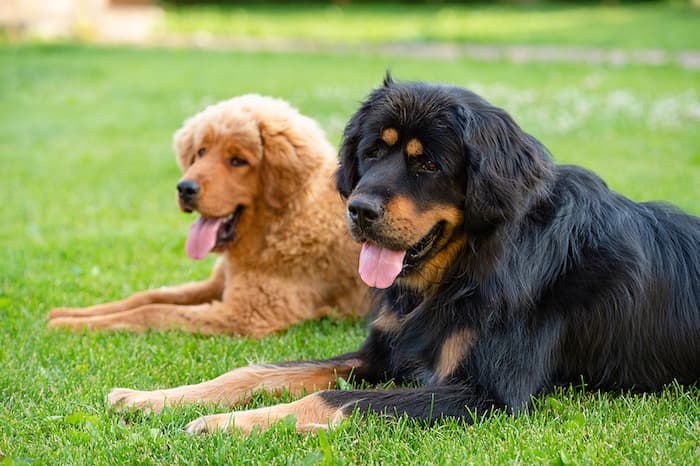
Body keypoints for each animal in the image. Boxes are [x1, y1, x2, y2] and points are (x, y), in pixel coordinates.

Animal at [115, 76, 700, 434]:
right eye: (372, 151)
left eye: (428, 164)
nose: (358, 209)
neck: (466, 268)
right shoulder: (382, 353)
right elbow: (254, 372)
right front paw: (155, 398)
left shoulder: (483, 395)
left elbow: (333, 401)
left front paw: (228, 425)